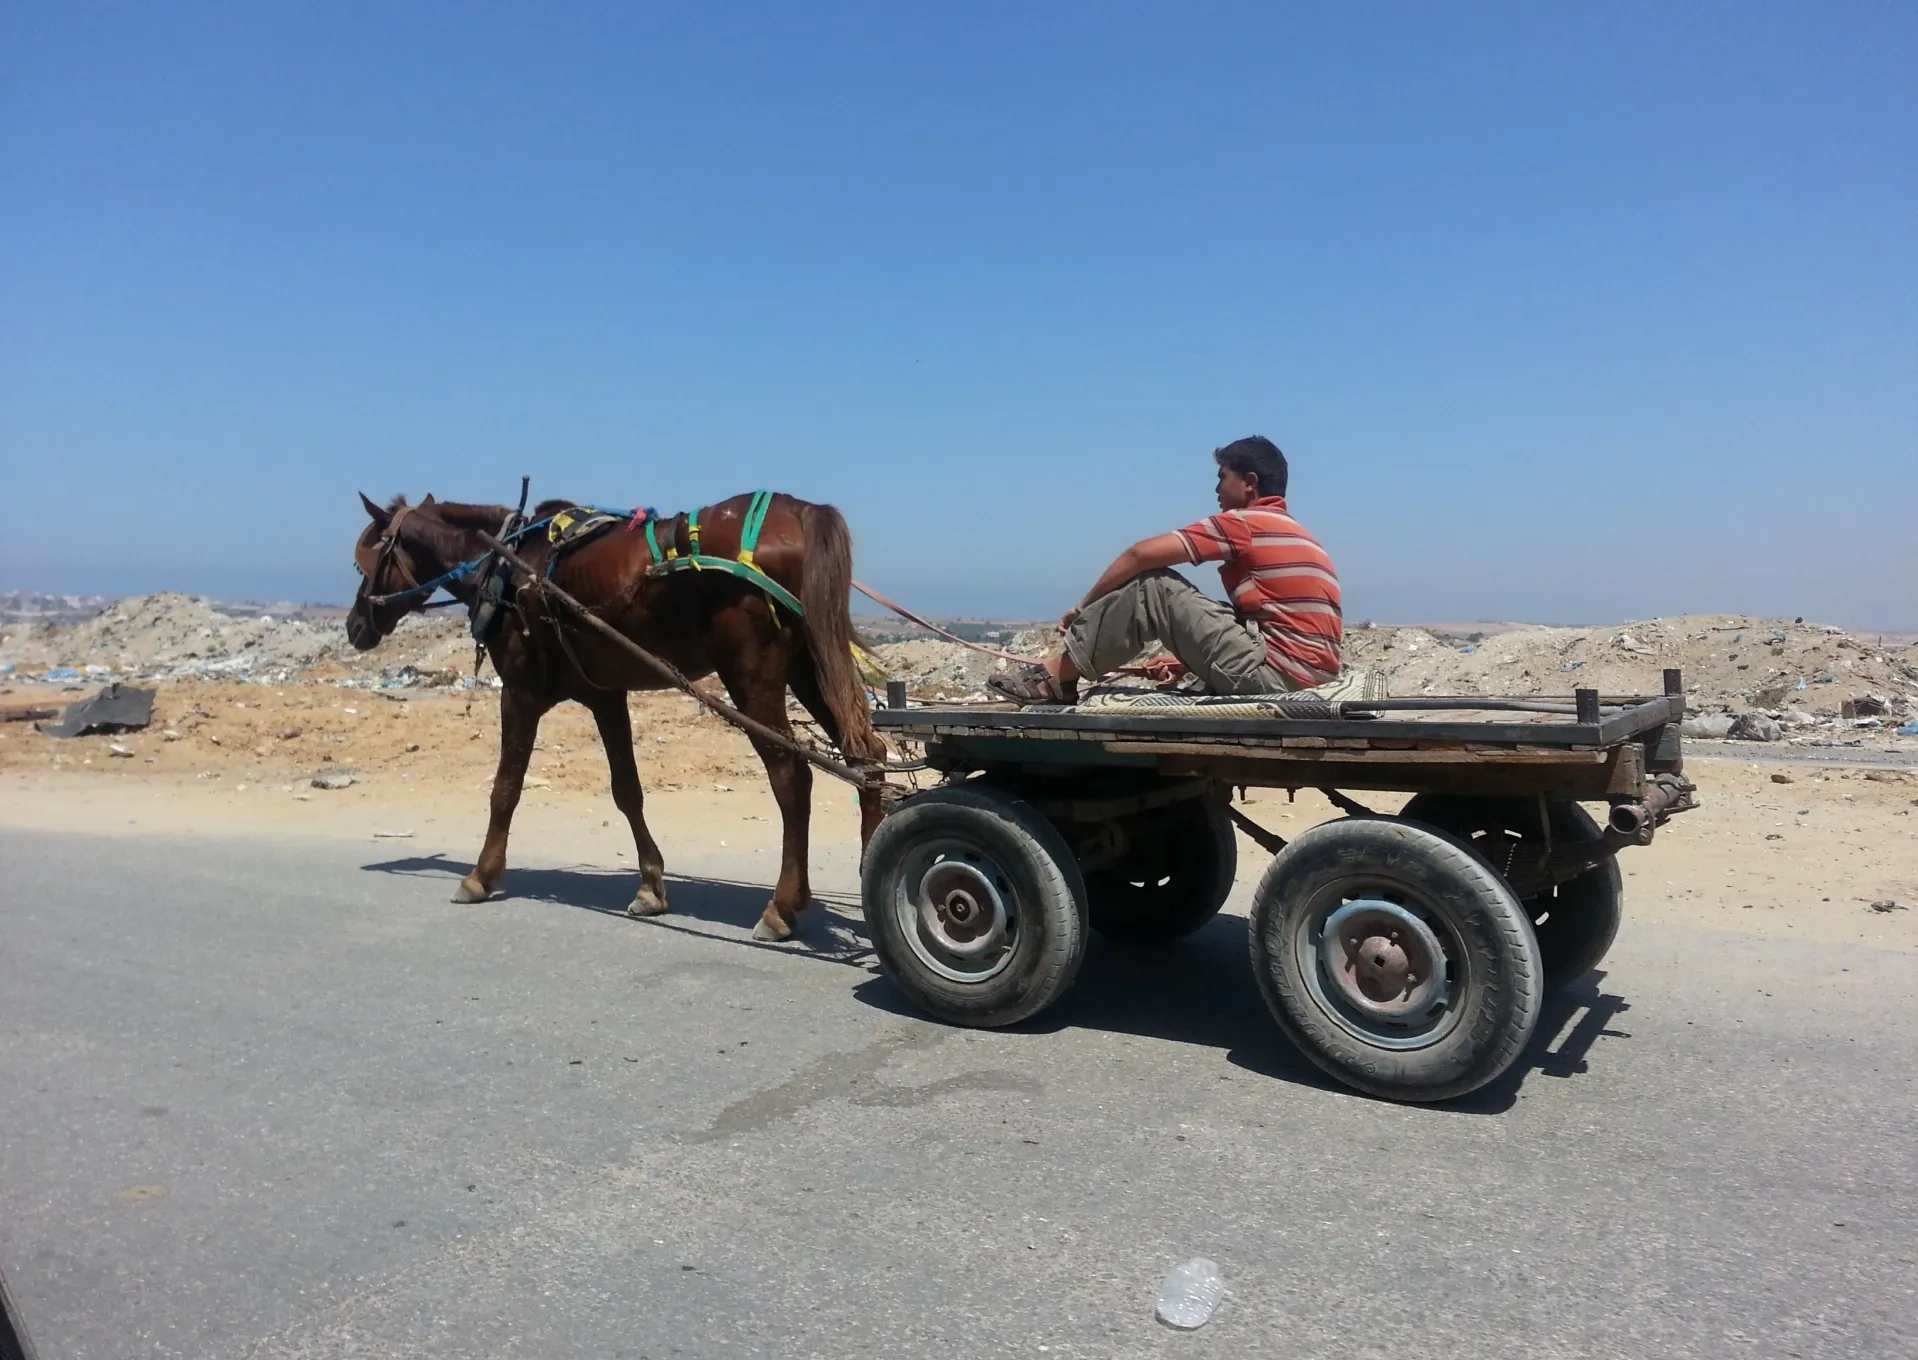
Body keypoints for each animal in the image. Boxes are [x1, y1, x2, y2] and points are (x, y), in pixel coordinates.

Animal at [345, 491, 888, 941]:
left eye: (363, 562)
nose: (354, 626)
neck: (509, 563)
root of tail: (799, 510)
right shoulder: (605, 696)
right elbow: (627, 790)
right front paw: (650, 887)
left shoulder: (519, 693)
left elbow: (506, 788)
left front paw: (480, 875)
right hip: (811, 667)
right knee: (867, 755)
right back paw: (867, 872)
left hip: (752, 679)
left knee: (792, 777)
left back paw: (781, 908)